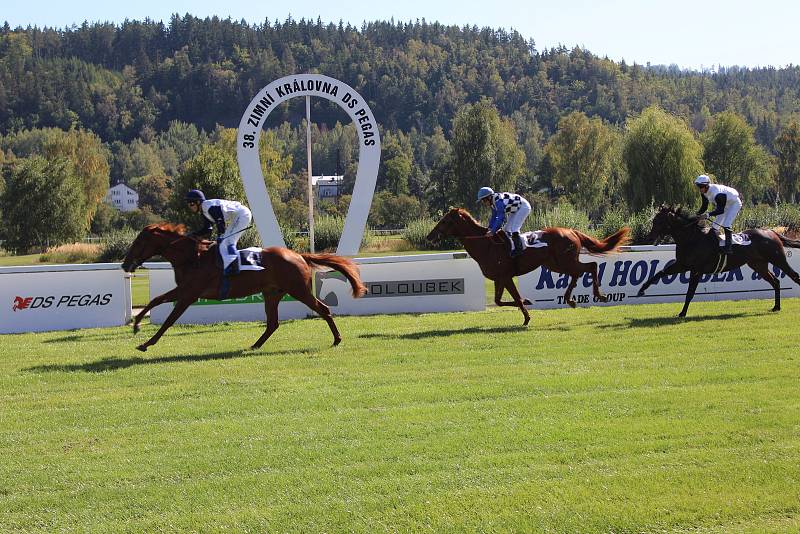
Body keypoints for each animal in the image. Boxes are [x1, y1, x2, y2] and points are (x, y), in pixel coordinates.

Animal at [121, 224, 366, 354]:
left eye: (139, 242)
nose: (125, 264)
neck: (192, 257)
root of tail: (297, 255)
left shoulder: (189, 294)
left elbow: (169, 320)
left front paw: (146, 343)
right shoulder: (183, 290)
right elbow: (155, 300)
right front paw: (137, 325)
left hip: (298, 290)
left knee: (323, 309)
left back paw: (337, 339)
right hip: (272, 293)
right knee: (273, 323)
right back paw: (255, 345)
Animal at [428, 209, 628, 326]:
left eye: (445, 221)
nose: (429, 236)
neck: (486, 245)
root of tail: (571, 231)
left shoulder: (506, 276)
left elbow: (515, 298)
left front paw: (527, 316)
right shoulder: (499, 278)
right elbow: (499, 301)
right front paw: (528, 302)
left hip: (565, 261)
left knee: (590, 267)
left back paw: (597, 296)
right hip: (556, 264)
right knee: (579, 272)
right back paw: (570, 299)